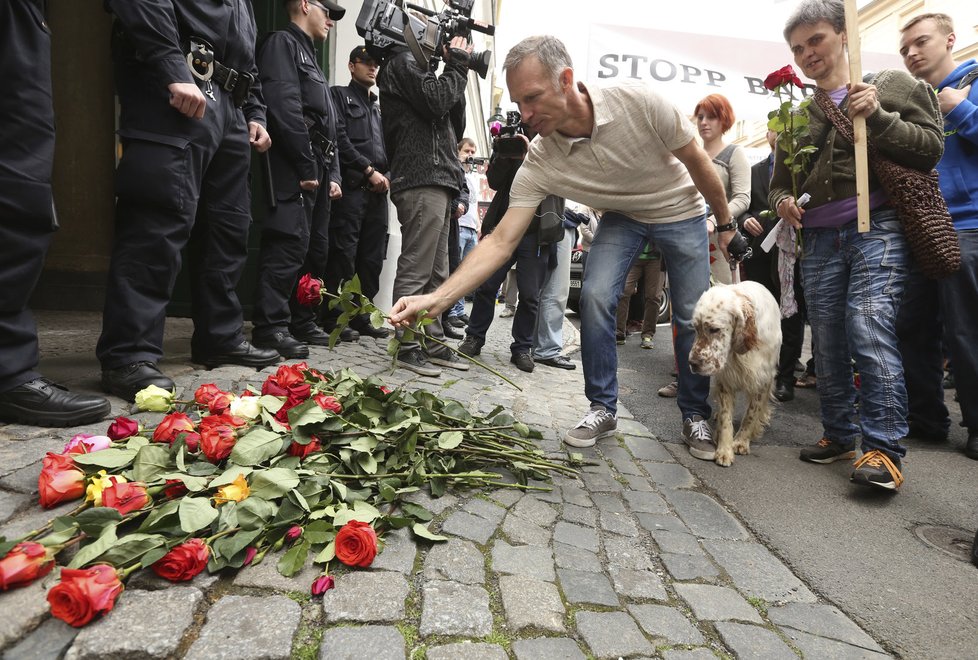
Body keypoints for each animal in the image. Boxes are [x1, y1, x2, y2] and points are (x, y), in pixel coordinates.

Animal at [692, 282, 780, 466]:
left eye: (714, 329)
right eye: (695, 328)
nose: (692, 363)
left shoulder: (761, 379)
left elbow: (751, 414)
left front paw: (740, 442)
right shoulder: (725, 380)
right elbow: (726, 417)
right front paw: (724, 450)